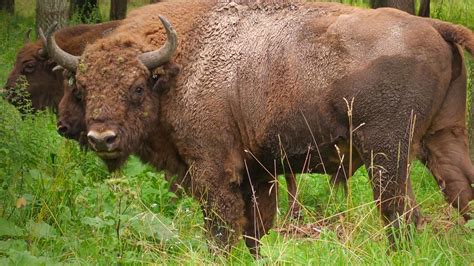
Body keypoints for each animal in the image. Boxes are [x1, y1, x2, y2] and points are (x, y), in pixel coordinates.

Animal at [41, 0, 474, 256]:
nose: (102, 138)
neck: (178, 66)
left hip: (386, 154)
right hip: (443, 138)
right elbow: (255, 228)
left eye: (135, 88)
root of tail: (433, 26)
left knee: (401, 215)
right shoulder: (257, 173)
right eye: (81, 87)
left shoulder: (213, 169)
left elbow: (221, 229)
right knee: (460, 193)